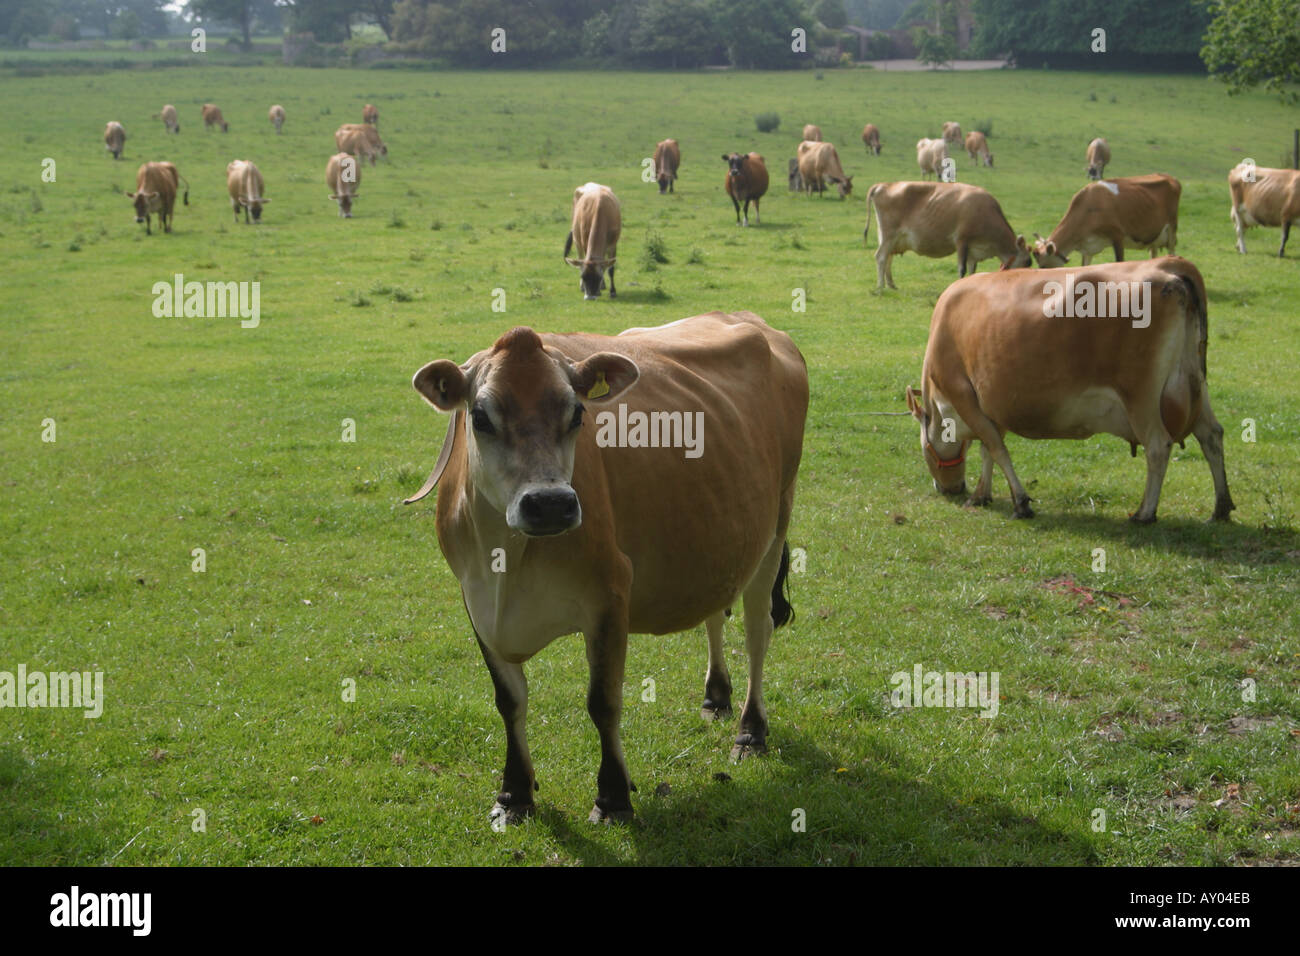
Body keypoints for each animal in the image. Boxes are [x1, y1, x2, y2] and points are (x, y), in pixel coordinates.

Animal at [403, 310, 808, 826]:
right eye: (479, 417)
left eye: (577, 414)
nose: (549, 504)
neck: (507, 564)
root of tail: (747, 318)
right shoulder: (475, 599)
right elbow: (509, 700)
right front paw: (514, 794)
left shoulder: (611, 593)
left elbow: (603, 702)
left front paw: (614, 797)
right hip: (719, 534)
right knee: (716, 612)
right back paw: (716, 696)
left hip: (776, 524)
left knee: (758, 629)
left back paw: (751, 730)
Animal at [865, 181, 1032, 289]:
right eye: (1027, 262)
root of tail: (884, 185)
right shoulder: (961, 240)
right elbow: (962, 269)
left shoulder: (974, 251)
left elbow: (972, 270)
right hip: (889, 234)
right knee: (880, 256)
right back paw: (881, 287)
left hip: (891, 238)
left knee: (888, 257)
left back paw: (891, 285)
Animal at [906, 256, 1232, 525]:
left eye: (923, 448)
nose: (949, 489)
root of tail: (1170, 265)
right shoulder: (993, 403)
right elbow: (989, 449)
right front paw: (982, 494)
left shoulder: (963, 393)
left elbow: (996, 448)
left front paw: (1020, 502)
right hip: (1196, 384)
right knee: (1211, 435)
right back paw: (1221, 507)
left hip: (1141, 397)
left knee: (1157, 445)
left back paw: (1144, 513)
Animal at [1032, 174, 1181, 268]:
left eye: (1043, 265)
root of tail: (1170, 177)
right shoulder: (1087, 248)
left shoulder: (1118, 236)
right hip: (1154, 238)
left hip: (1172, 229)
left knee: (1172, 252)